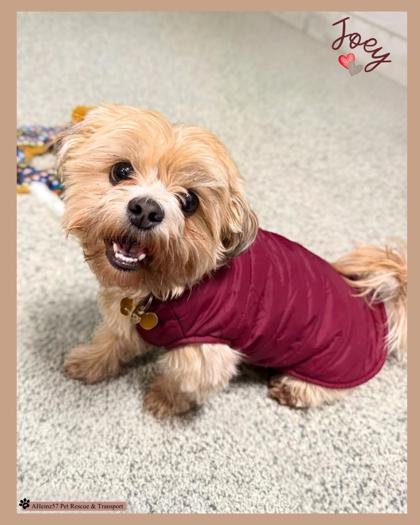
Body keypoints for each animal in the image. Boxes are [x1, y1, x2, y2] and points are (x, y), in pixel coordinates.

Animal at [57, 103, 407, 418]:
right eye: (121, 171)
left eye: (189, 202)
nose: (146, 209)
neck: (164, 286)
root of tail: (380, 308)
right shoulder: (127, 321)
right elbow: (113, 340)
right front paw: (90, 361)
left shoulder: (205, 354)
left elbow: (184, 384)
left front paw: (164, 402)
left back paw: (291, 388)